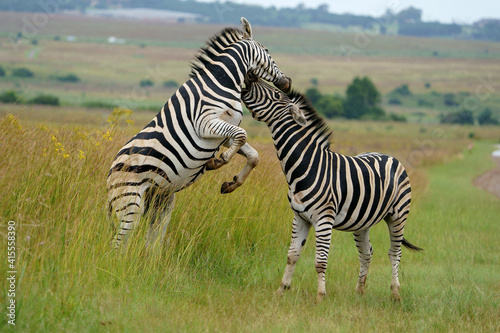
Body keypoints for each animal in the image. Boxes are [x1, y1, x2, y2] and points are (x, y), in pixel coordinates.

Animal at [107, 18, 292, 246]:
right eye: (267, 50)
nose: (288, 83)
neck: (221, 81)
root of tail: (109, 174)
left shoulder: (224, 134)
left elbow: (253, 154)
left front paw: (232, 183)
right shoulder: (205, 123)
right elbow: (242, 135)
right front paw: (217, 162)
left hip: (160, 201)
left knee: (151, 243)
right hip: (130, 203)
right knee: (119, 245)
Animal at [242, 72, 422, 300]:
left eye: (275, 94)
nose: (250, 76)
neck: (306, 166)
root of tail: (388, 156)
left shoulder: (323, 219)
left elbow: (320, 262)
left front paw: (320, 296)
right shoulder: (300, 217)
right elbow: (292, 255)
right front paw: (281, 290)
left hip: (398, 215)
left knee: (394, 253)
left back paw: (396, 294)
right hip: (363, 222)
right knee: (367, 252)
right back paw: (359, 292)